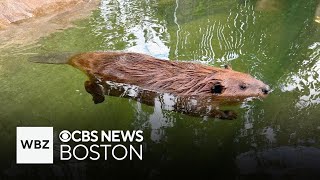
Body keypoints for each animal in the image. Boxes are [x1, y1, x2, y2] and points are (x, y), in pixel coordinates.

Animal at [30, 51, 270, 119]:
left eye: (250, 76)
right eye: (242, 87)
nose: (266, 89)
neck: (200, 79)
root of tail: (75, 57)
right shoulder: (189, 98)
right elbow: (200, 111)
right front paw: (230, 114)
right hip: (102, 80)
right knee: (89, 83)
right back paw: (97, 98)